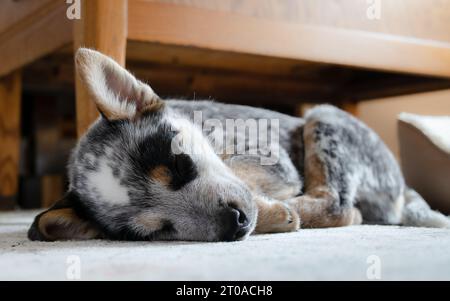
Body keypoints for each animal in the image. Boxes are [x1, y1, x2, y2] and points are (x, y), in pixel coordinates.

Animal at [27, 48, 450, 241]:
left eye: (180, 165)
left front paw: (273, 211)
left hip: (323, 117)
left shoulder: (272, 161)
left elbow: (242, 175)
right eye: (159, 231)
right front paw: (270, 213)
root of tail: (404, 191)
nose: (236, 222)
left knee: (340, 206)